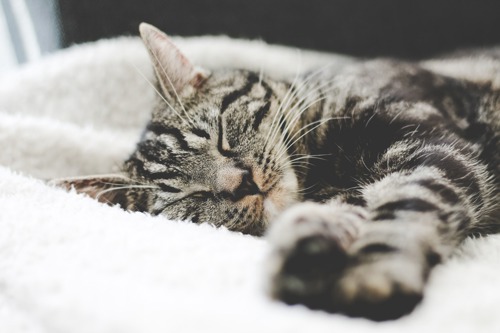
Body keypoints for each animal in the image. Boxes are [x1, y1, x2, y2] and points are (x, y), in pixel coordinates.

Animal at [60, 22, 498, 320]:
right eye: (193, 196)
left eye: (220, 135)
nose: (241, 183)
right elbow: (345, 210)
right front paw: (307, 250)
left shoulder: (434, 149)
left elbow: (407, 205)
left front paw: (372, 275)